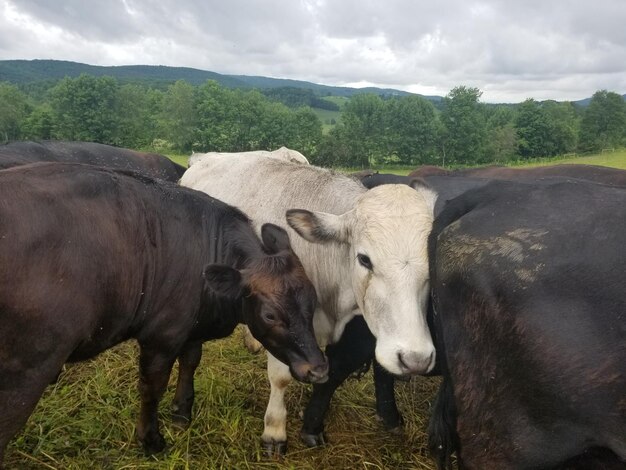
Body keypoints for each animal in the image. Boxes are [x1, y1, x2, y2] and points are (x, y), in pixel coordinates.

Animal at [0, 162, 330, 466]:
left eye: (313, 300)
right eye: (270, 315)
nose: (318, 369)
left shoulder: (189, 327)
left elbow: (191, 361)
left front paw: (182, 411)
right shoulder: (162, 336)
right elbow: (152, 387)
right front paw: (151, 440)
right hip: (28, 368)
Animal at [178, 152, 436, 454]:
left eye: (432, 265)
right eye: (364, 259)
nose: (415, 359)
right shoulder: (283, 326)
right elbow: (280, 377)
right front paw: (274, 430)